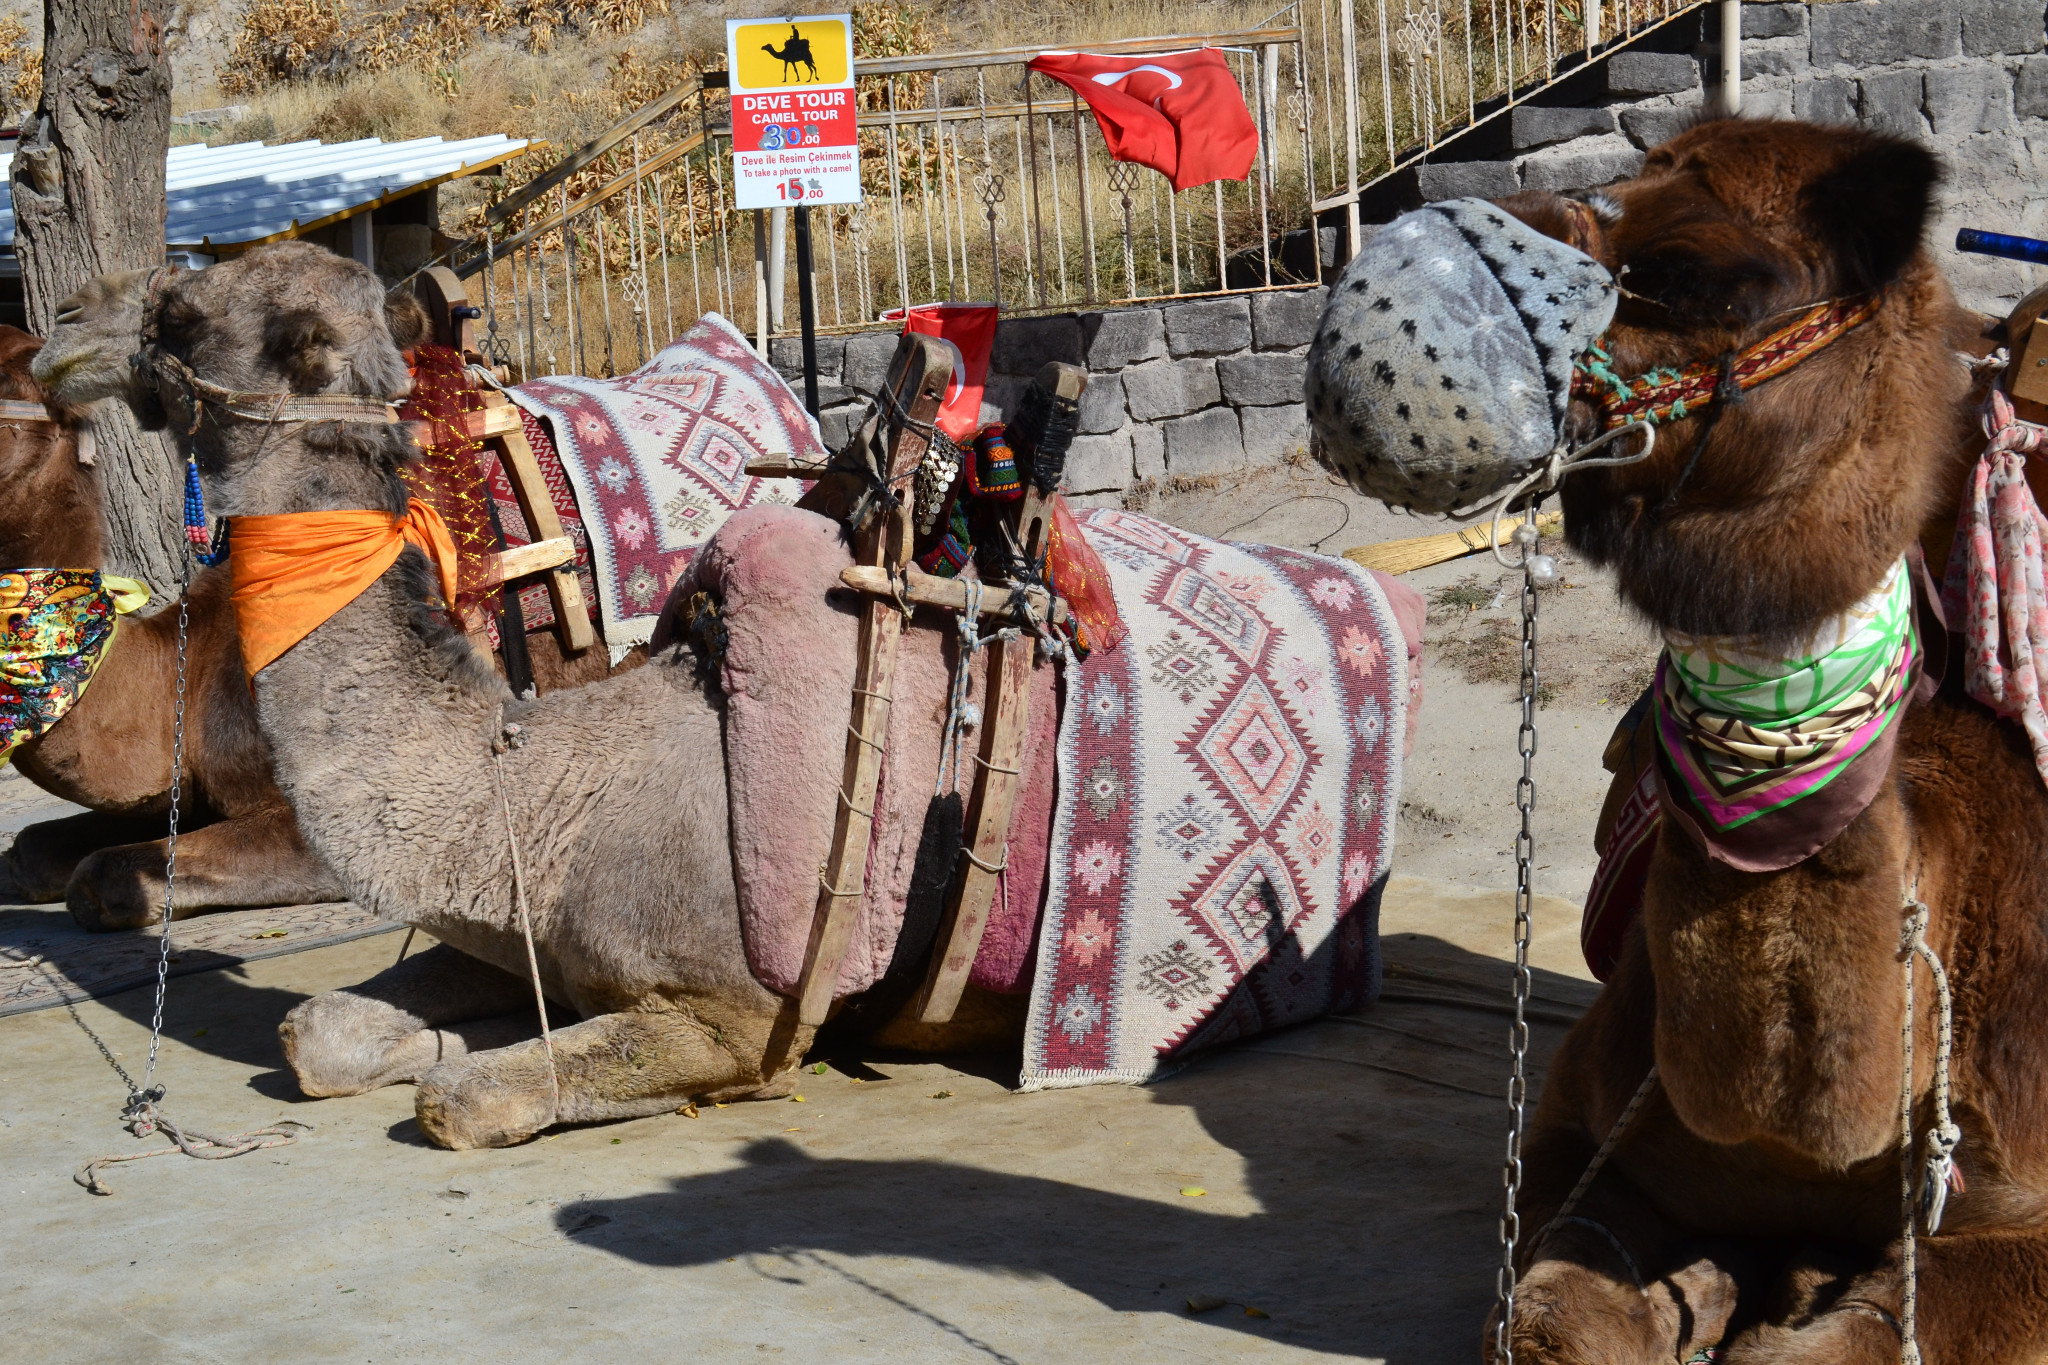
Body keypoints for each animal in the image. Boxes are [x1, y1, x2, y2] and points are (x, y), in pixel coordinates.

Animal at [1458, 122, 2031, 1358]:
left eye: (1694, 274)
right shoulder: (1581, 1133)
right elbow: (1546, 1316)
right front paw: (1717, 1284)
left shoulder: (2018, 1211)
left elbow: (1863, 1329)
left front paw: (1781, 1295)